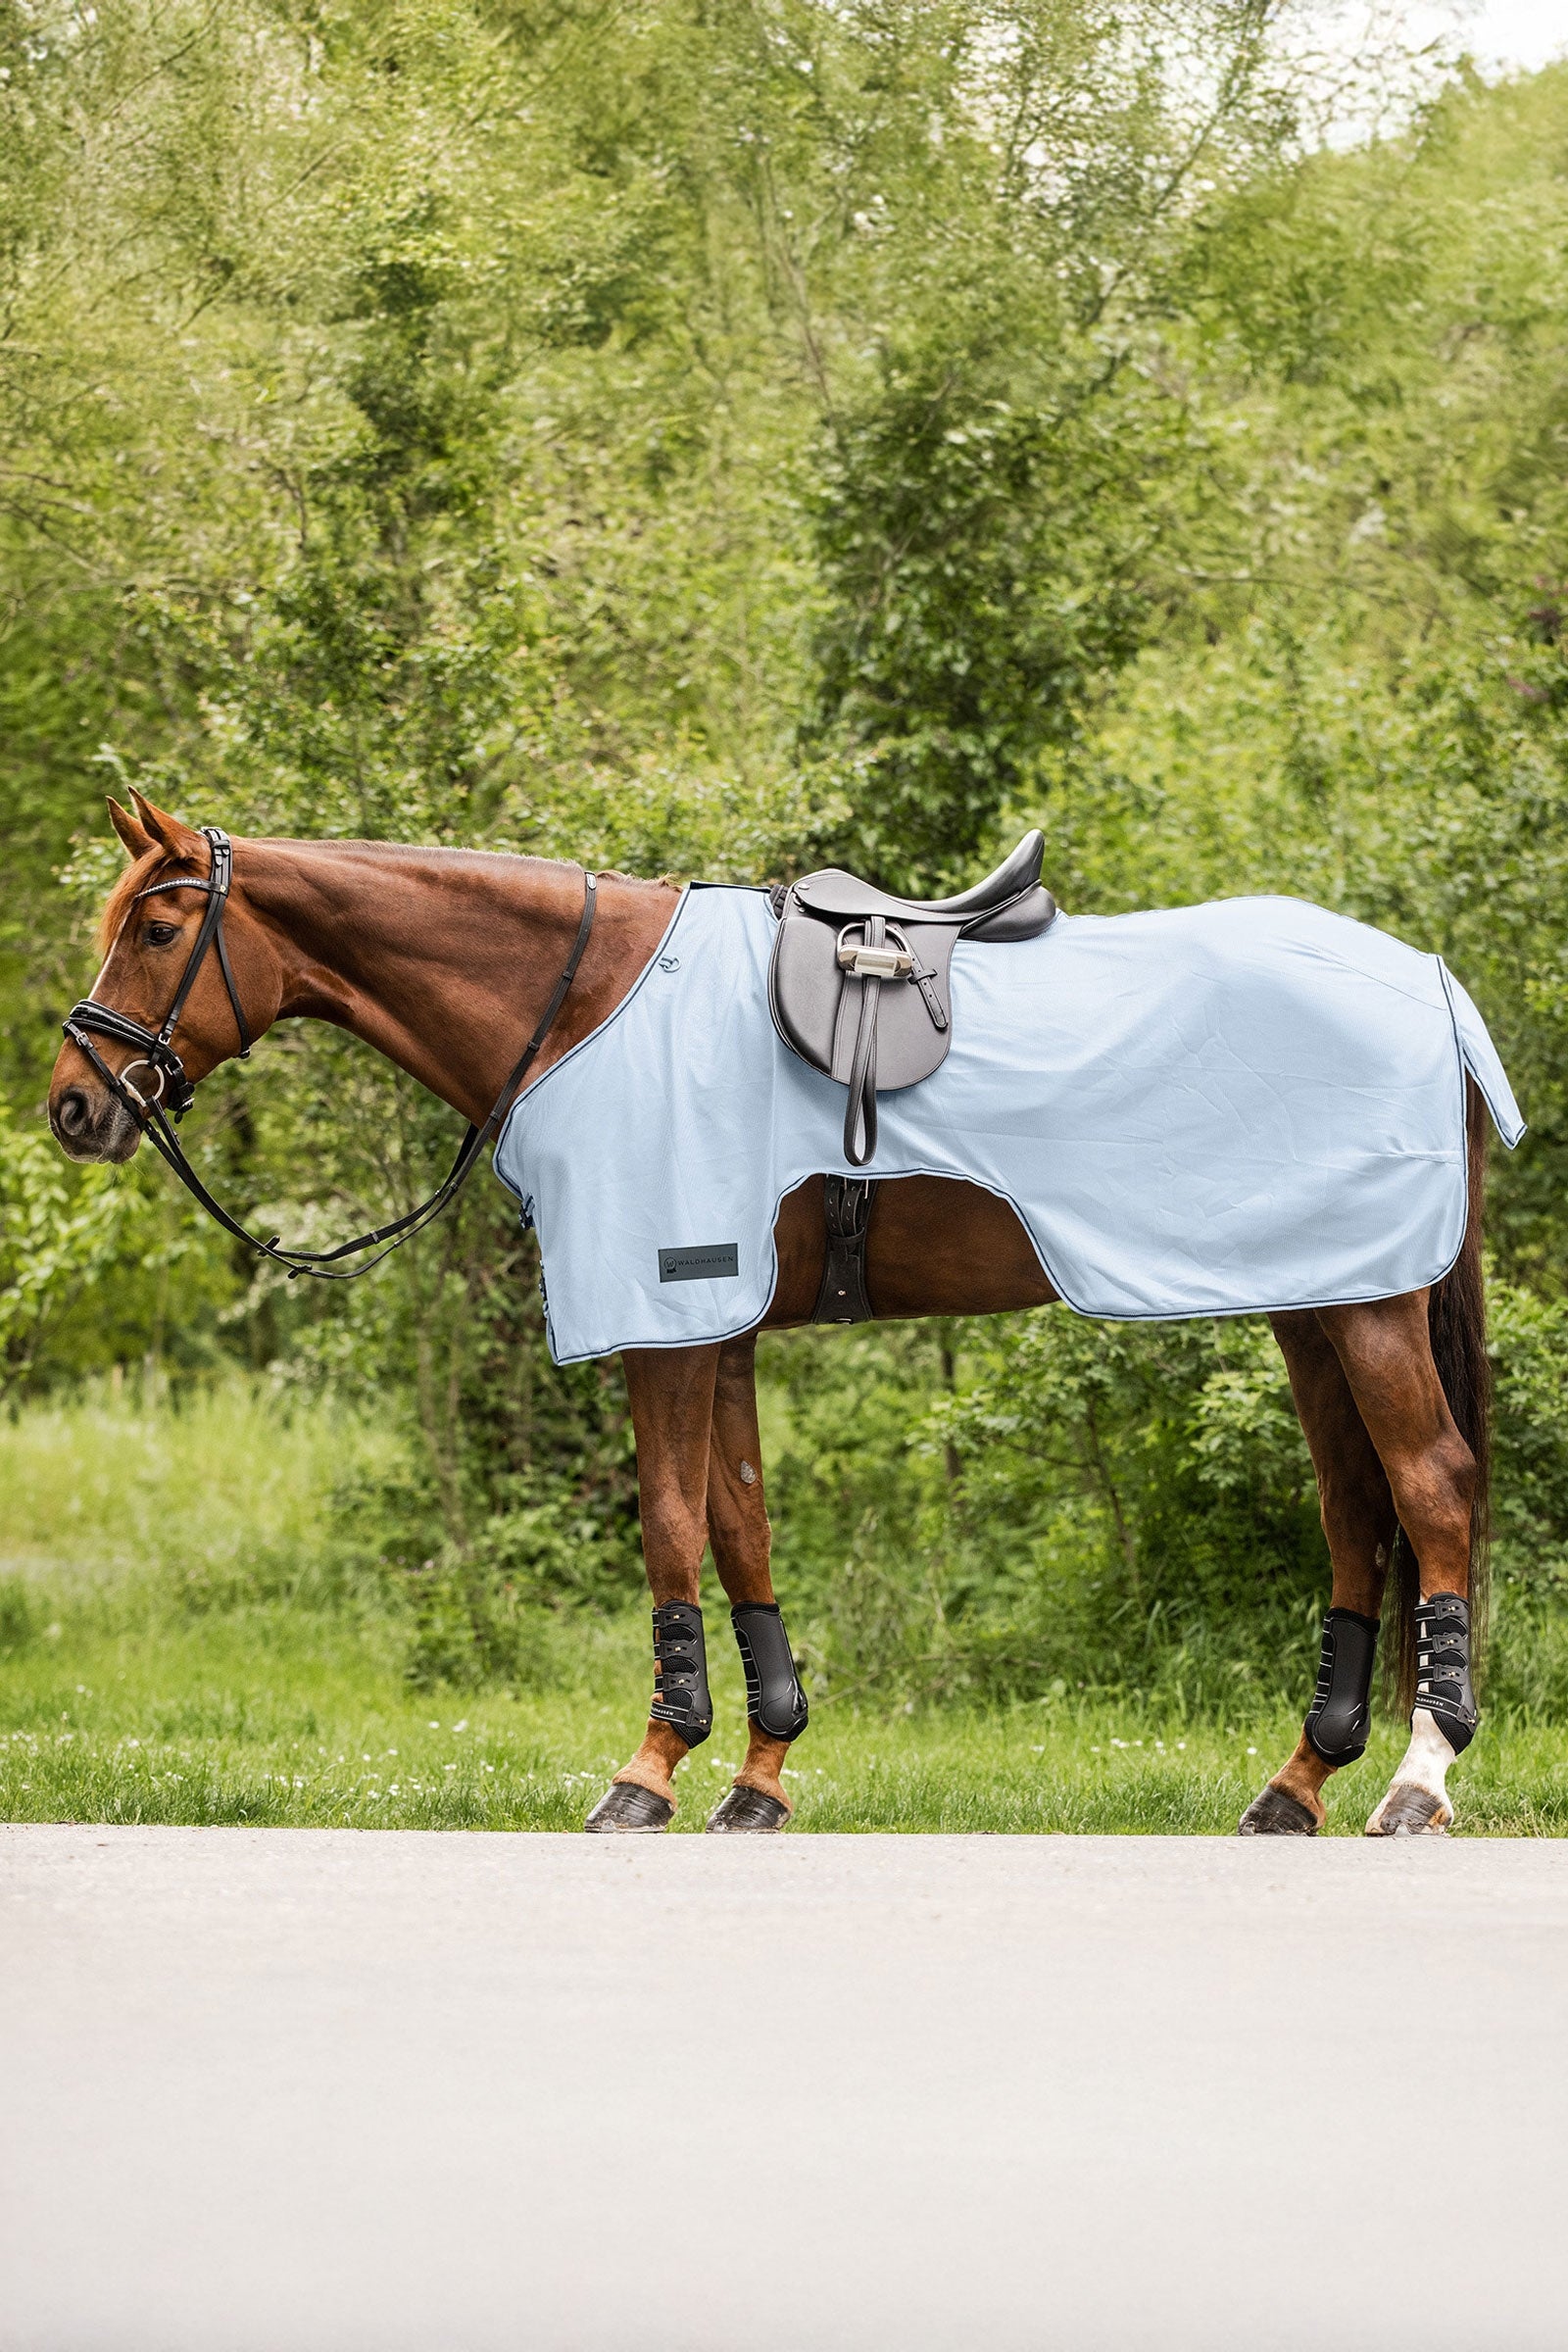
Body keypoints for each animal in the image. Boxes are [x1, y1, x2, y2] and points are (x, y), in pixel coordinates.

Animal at [49, 792, 1491, 1838]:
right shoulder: (719, 1326)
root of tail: (1430, 979)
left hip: (1368, 1308)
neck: (587, 1003)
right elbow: (739, 1525)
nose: (74, 1104)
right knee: (1354, 1509)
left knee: (1431, 1490)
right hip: (1313, 1304)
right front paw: (759, 1772)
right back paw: (1297, 1784)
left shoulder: (665, 1317)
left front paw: (647, 1770)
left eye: (159, 932)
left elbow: (669, 1526)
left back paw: (1417, 1781)